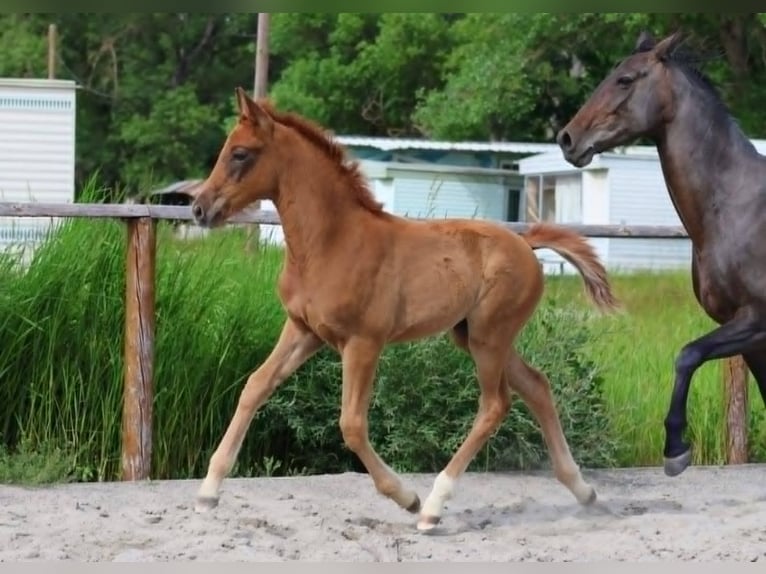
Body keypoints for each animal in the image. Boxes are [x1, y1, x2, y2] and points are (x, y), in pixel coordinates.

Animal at [187, 87, 620, 531]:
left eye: (240, 153)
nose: (199, 208)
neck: (331, 242)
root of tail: (525, 242)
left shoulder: (364, 343)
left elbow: (352, 425)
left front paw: (406, 497)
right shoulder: (303, 331)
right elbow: (255, 386)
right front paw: (208, 492)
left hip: (489, 337)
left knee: (495, 405)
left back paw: (431, 507)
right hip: (473, 336)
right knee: (536, 386)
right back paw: (582, 490)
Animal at [556, 30, 766, 478]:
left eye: (625, 79)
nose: (567, 138)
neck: (735, 207)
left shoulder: (757, 320)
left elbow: (687, 355)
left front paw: (675, 448)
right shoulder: (750, 336)